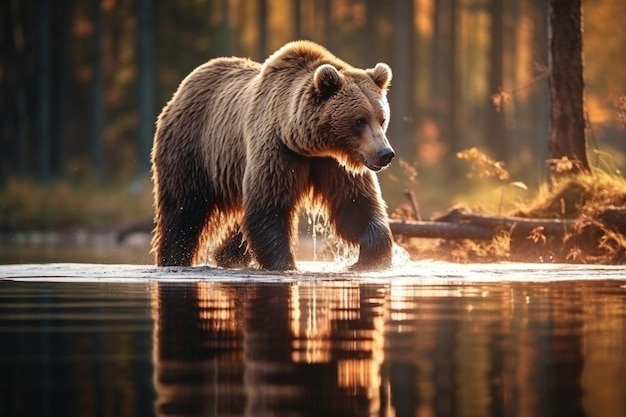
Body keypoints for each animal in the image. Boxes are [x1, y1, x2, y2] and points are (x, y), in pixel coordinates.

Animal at [151, 40, 392, 270]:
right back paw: (174, 258)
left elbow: (355, 205)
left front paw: (371, 258)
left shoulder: (333, 163)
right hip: (191, 150)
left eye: (381, 119)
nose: (385, 153)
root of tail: (183, 86)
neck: (309, 143)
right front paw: (284, 263)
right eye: (359, 120)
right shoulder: (278, 149)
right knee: (183, 210)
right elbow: (269, 206)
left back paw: (227, 256)